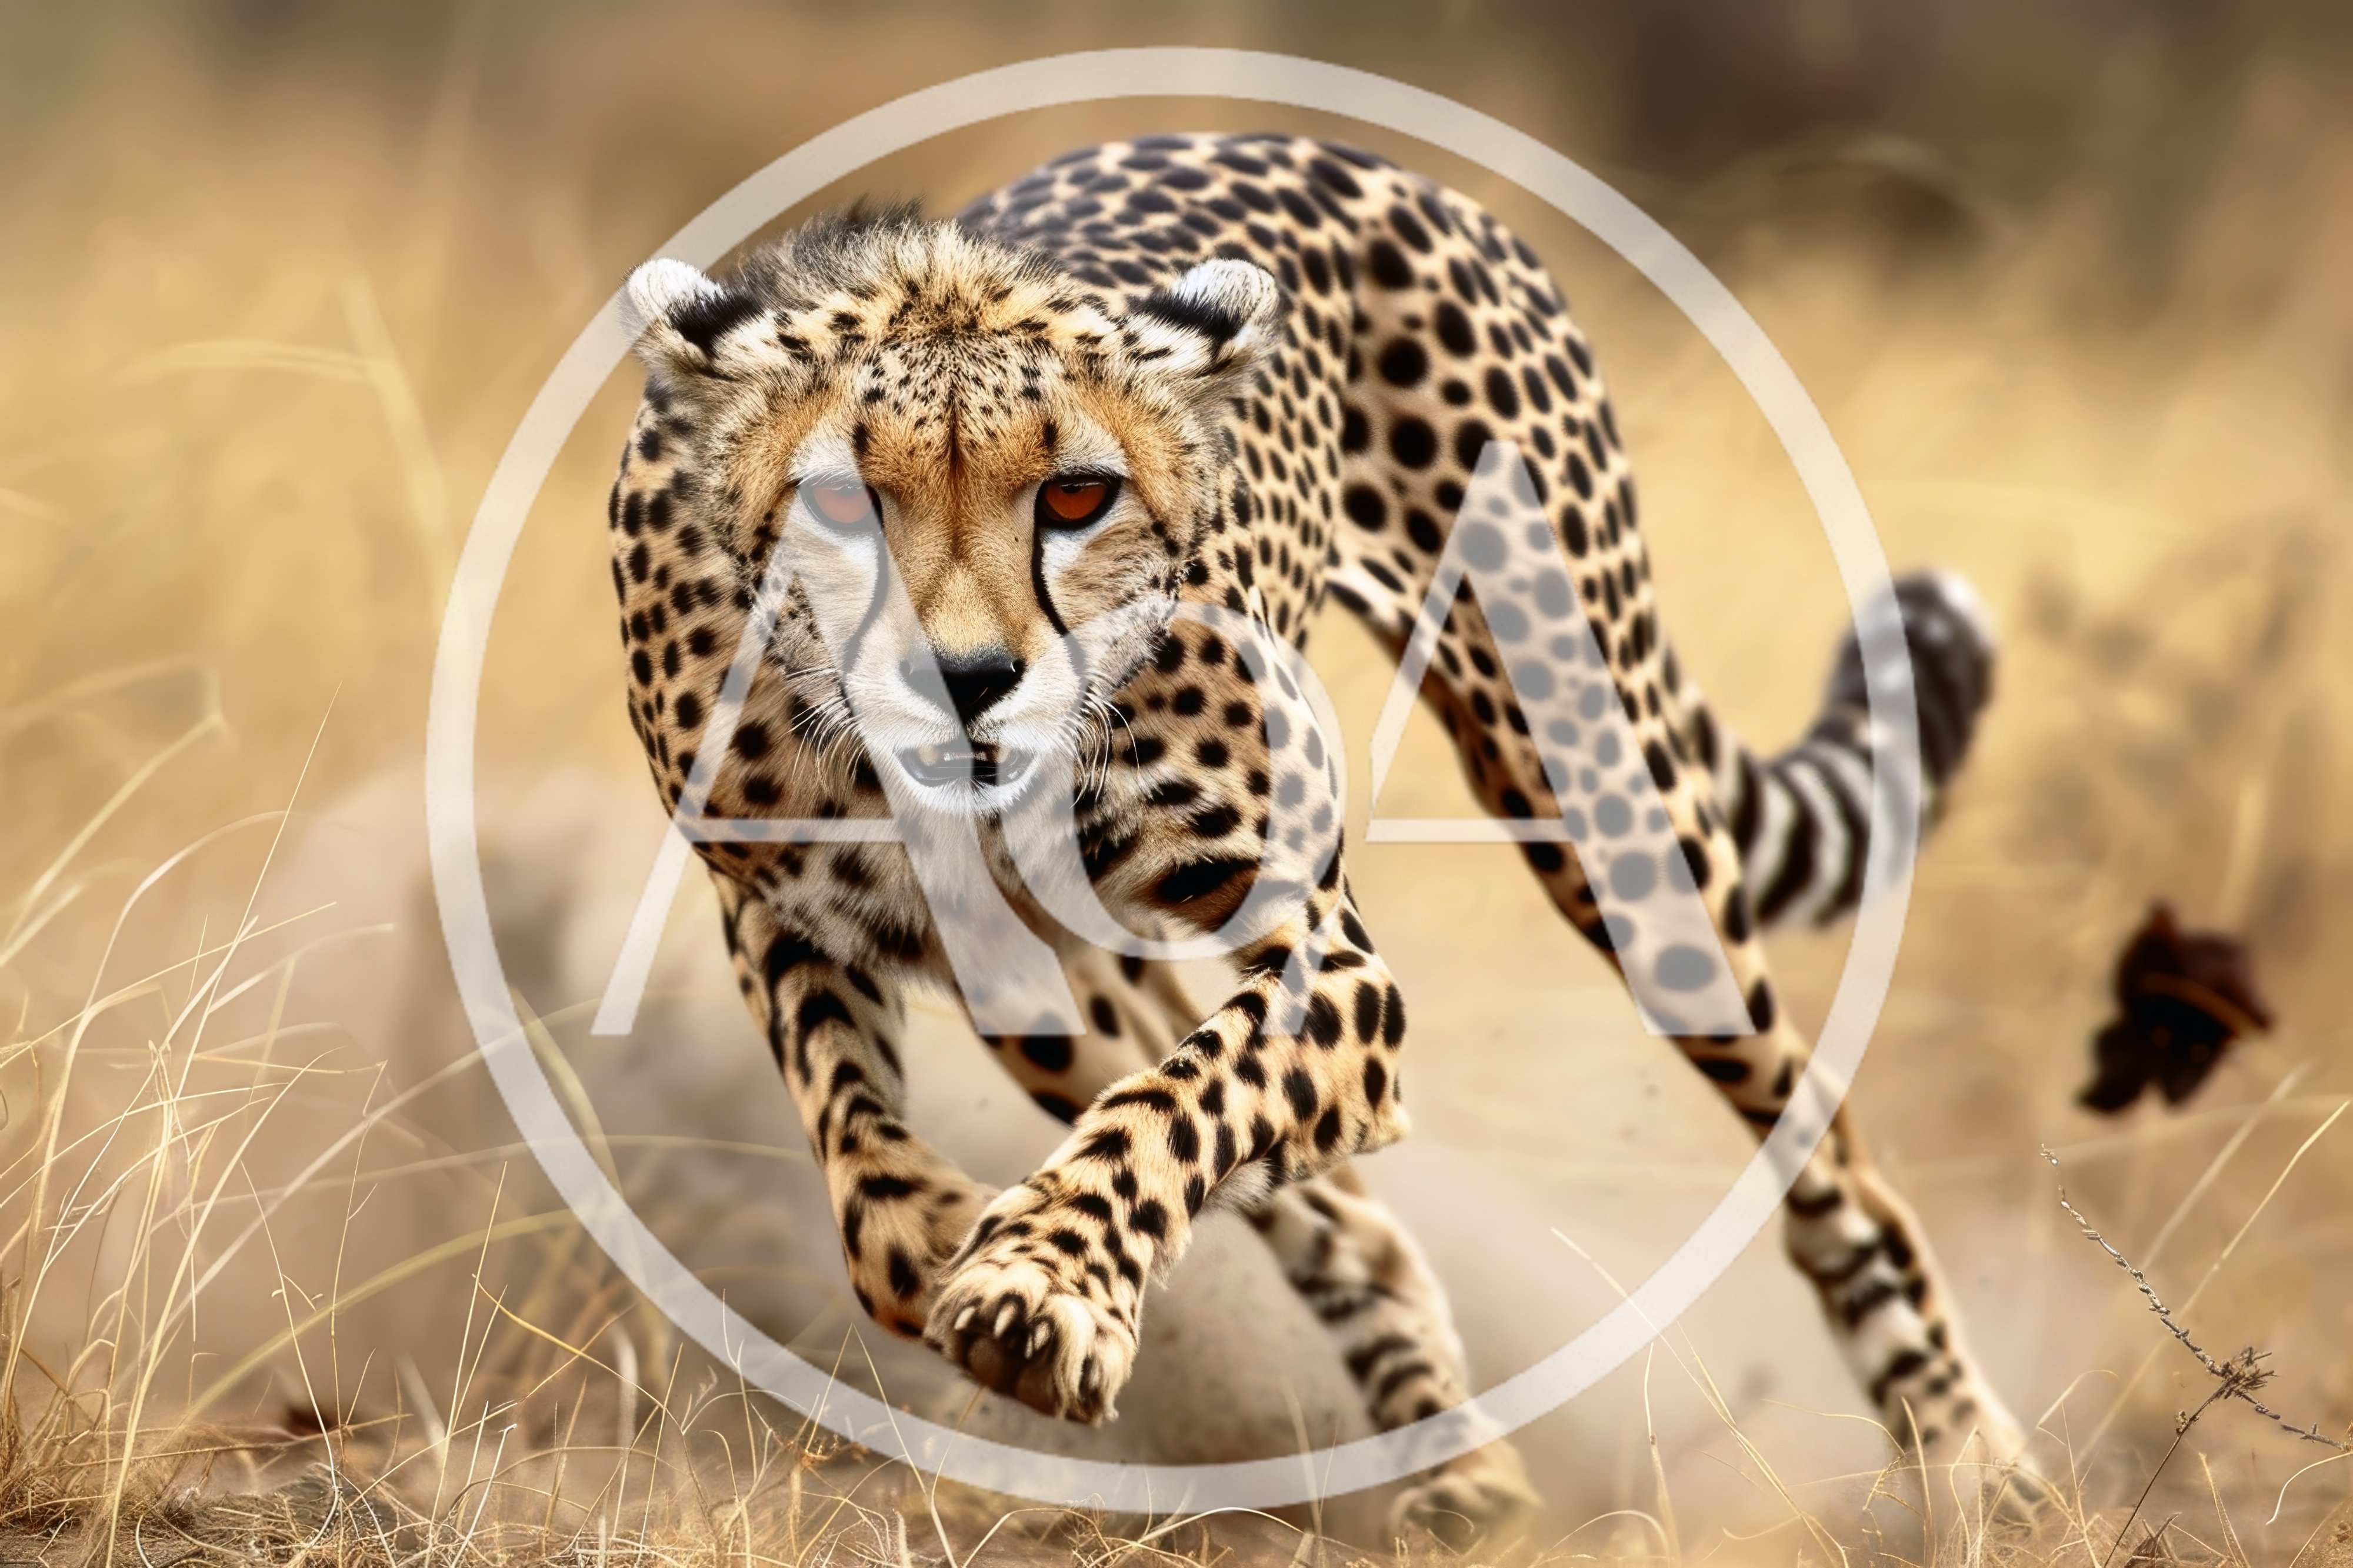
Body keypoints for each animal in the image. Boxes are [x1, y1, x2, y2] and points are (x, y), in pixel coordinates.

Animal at [603, 131, 2026, 1542]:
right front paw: (966, 1238)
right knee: (1347, 1210)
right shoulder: (786, 913)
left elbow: (1176, 1107)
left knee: (1830, 1155)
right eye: (844, 503)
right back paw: (1466, 1476)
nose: (967, 680)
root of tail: (1345, 150)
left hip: (1608, 807)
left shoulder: (1325, 956)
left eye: (1076, 496)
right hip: (1050, 995)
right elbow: (867, 1175)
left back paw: (1971, 1460)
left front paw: (1041, 1288)